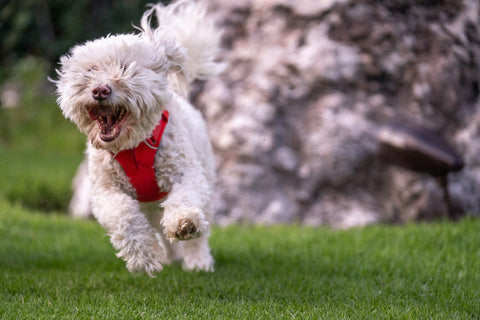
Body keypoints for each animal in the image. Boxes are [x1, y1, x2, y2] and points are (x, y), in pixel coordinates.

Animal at [54, 0, 223, 276]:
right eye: (91, 70)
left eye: (125, 67)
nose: (100, 90)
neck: (133, 148)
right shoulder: (106, 191)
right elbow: (125, 217)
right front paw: (145, 259)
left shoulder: (185, 172)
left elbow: (185, 197)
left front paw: (183, 223)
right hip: (150, 206)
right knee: (156, 227)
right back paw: (169, 256)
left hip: (205, 178)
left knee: (199, 232)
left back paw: (198, 261)